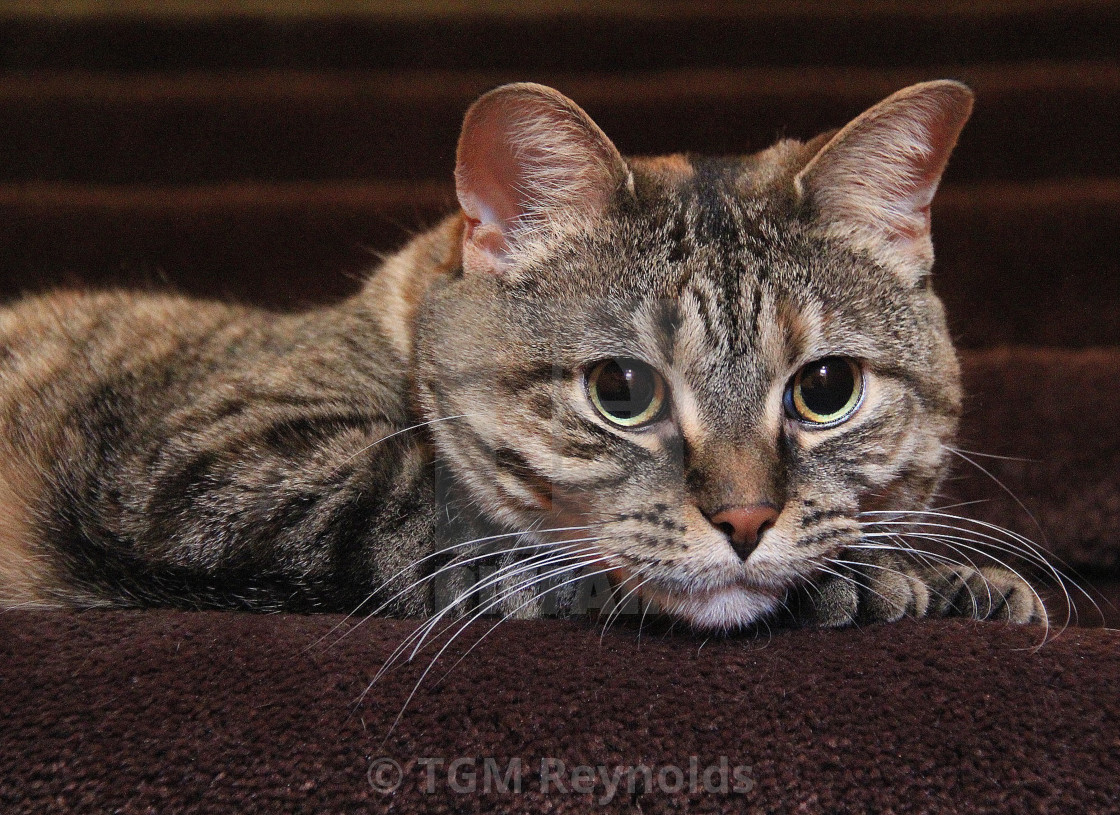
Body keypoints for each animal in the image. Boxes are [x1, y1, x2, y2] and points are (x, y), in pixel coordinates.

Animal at [0, 81, 1048, 631]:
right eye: (620, 389)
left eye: (826, 388)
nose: (747, 519)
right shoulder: (211, 460)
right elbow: (484, 525)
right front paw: (889, 581)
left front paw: (955, 576)